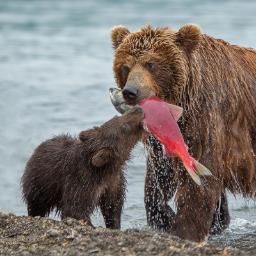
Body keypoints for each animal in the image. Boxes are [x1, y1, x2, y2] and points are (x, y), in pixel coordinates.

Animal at [111, 24, 256, 242]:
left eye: (151, 64)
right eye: (125, 66)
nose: (131, 92)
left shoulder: (205, 121)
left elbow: (199, 181)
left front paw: (185, 230)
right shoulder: (164, 138)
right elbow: (158, 178)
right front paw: (166, 216)